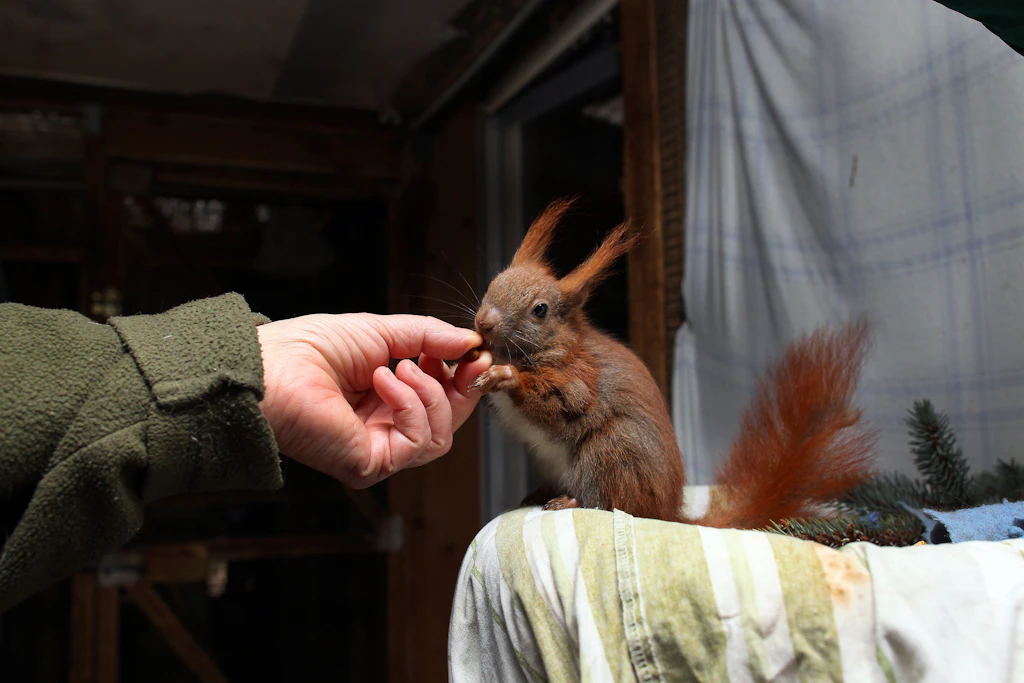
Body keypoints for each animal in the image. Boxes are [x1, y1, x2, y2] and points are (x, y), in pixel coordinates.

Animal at [469, 198, 877, 528]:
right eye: (494, 280)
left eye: (539, 310)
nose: (483, 323)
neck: (554, 345)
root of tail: (666, 512)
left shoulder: (578, 379)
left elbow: (558, 404)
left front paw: (506, 377)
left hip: (611, 452)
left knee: (607, 503)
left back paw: (567, 500)